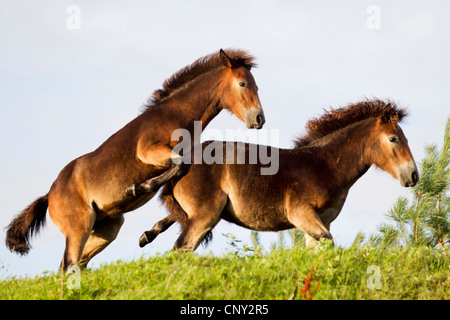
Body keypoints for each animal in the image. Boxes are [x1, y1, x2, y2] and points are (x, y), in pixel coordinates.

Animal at [5, 48, 266, 272]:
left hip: (105, 229)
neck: (175, 116)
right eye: (243, 83)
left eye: (256, 86)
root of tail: (49, 196)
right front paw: (136, 189)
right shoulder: (150, 152)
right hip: (79, 228)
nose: (259, 119)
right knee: (68, 265)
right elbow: (179, 168)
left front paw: (147, 233)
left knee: (72, 264)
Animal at [141, 99, 418, 250]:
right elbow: (328, 244)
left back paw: (147, 234)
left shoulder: (319, 222)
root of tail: (185, 161)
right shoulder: (301, 214)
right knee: (182, 248)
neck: (324, 165)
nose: (413, 175)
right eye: (393, 139)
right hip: (205, 215)